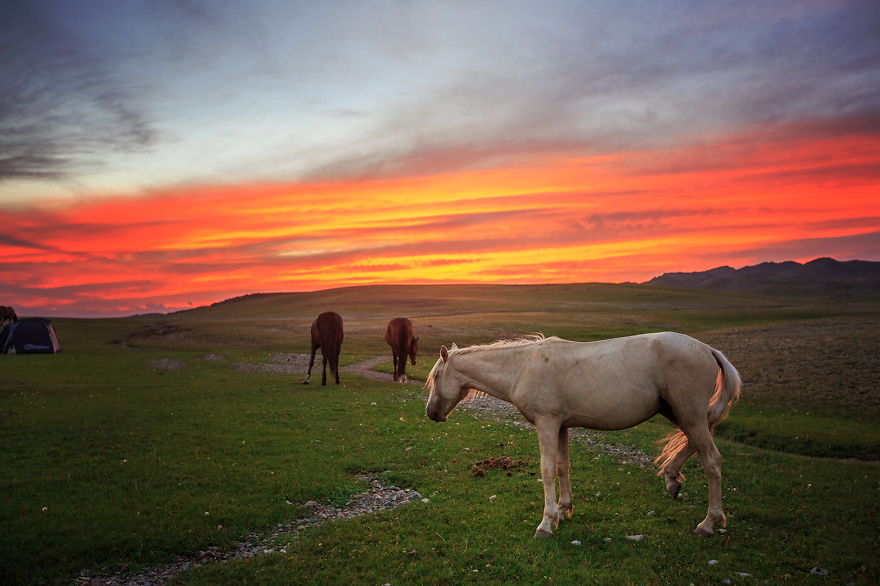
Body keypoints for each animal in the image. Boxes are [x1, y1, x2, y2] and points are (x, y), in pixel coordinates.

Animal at [425, 332, 741, 538]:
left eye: (437, 377)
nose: (431, 413)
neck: (523, 366)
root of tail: (707, 349)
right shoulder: (561, 426)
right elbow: (562, 467)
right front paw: (563, 509)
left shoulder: (547, 424)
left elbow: (547, 470)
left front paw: (546, 524)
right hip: (681, 413)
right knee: (693, 443)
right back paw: (672, 477)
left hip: (688, 413)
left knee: (711, 460)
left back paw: (709, 522)